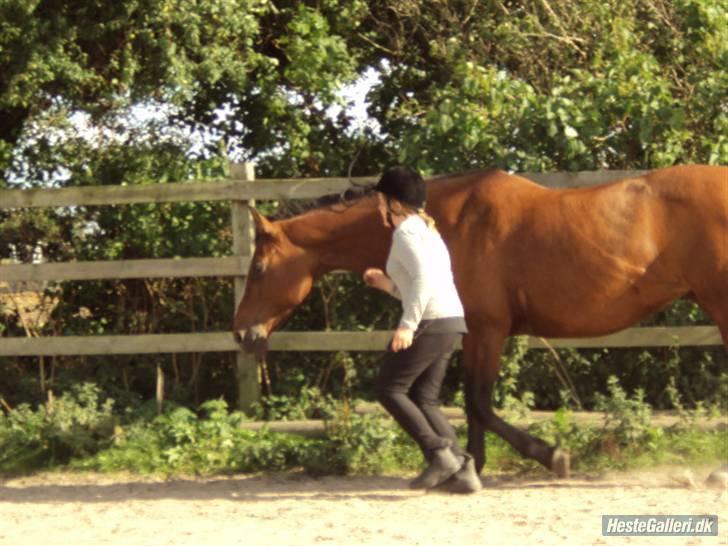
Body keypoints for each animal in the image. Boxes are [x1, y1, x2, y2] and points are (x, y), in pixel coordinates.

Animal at [232, 164, 728, 474]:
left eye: (259, 268)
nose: (241, 333)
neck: (452, 223)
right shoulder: (474, 332)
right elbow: (472, 405)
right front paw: (474, 464)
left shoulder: (488, 330)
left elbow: (478, 403)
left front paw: (550, 456)